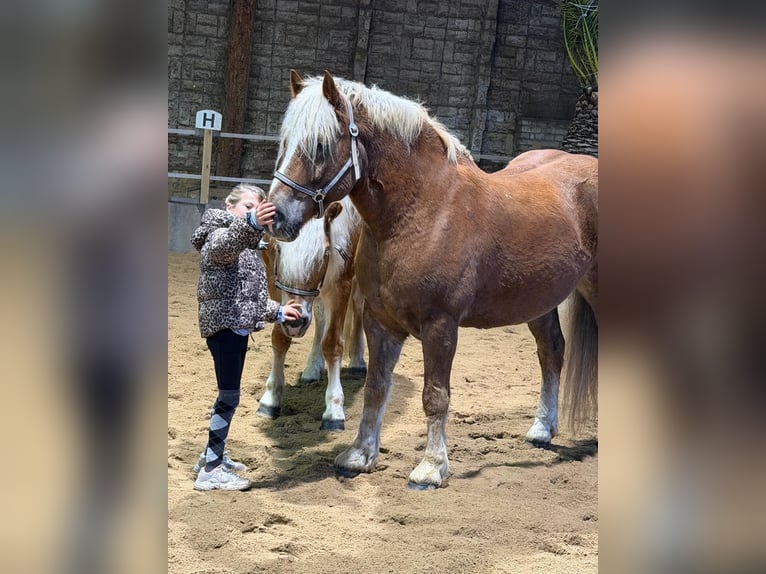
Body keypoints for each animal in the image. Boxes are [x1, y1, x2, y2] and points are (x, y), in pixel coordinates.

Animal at [256, 197, 366, 431]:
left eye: (324, 254)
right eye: (278, 250)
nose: (295, 323)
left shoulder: (340, 285)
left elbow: (332, 344)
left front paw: (334, 410)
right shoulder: (274, 282)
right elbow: (279, 339)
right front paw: (270, 399)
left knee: (359, 306)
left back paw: (357, 361)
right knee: (321, 316)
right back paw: (312, 369)